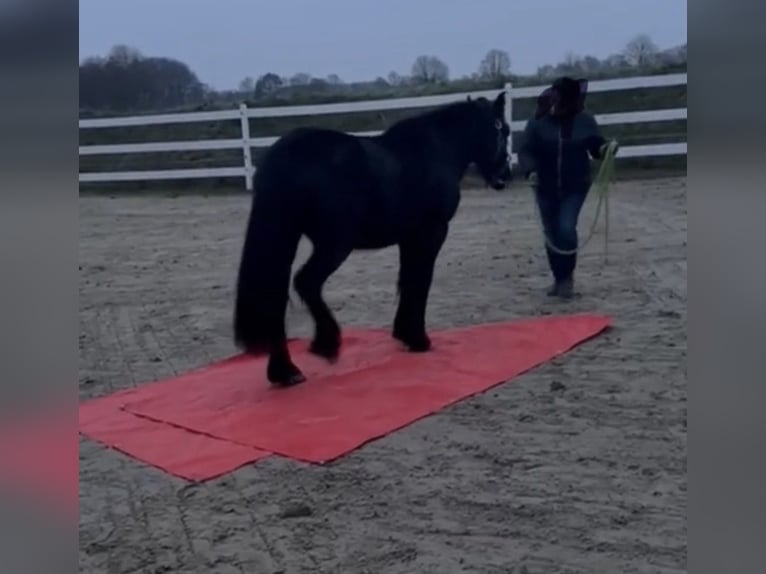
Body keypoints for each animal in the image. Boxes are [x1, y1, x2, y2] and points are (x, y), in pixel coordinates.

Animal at [233, 90, 512, 386]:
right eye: (502, 130)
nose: (504, 176)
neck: (436, 151)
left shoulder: (410, 238)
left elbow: (408, 280)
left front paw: (406, 335)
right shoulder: (432, 232)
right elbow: (421, 281)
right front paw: (419, 339)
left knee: (274, 300)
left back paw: (285, 372)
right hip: (335, 245)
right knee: (306, 282)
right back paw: (326, 345)